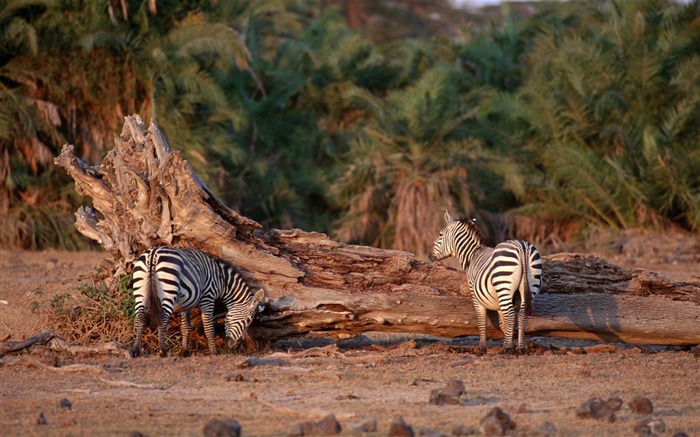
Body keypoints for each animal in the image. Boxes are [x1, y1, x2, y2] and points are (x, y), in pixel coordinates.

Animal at [130, 247, 264, 356]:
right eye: (248, 320)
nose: (236, 346)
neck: (221, 281)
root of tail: (154, 253)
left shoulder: (185, 303)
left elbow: (186, 327)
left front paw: (184, 351)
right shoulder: (208, 298)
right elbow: (209, 327)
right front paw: (214, 352)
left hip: (140, 289)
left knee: (140, 317)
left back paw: (135, 350)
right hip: (168, 289)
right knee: (162, 318)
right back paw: (163, 350)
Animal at [430, 211, 544, 354]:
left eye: (440, 234)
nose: (429, 256)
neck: (472, 255)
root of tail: (522, 246)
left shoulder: (475, 296)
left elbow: (481, 321)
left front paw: (482, 347)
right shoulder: (501, 303)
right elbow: (503, 323)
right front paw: (511, 344)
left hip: (504, 285)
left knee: (511, 314)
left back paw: (505, 349)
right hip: (530, 286)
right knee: (522, 315)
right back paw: (521, 348)